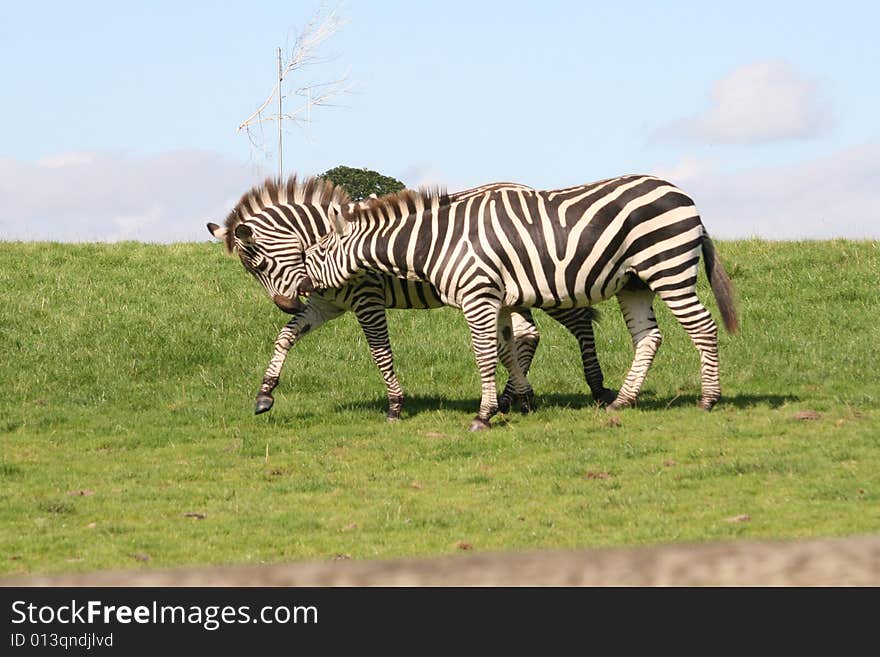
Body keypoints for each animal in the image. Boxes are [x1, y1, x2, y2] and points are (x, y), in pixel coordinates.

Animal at [208, 177, 620, 418]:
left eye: (261, 262)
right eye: (251, 271)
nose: (287, 304)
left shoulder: (367, 299)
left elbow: (380, 352)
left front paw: (395, 404)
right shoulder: (328, 304)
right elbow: (286, 336)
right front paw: (265, 394)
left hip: (542, 285)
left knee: (578, 321)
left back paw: (597, 388)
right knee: (528, 335)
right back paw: (511, 397)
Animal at [294, 173, 736, 430]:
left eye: (317, 254)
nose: (302, 291)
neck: (438, 242)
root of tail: (684, 195)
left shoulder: (478, 295)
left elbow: (485, 355)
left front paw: (484, 415)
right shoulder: (502, 301)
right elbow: (508, 349)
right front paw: (520, 400)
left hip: (668, 268)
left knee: (703, 328)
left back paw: (708, 400)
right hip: (635, 282)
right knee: (648, 338)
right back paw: (622, 402)